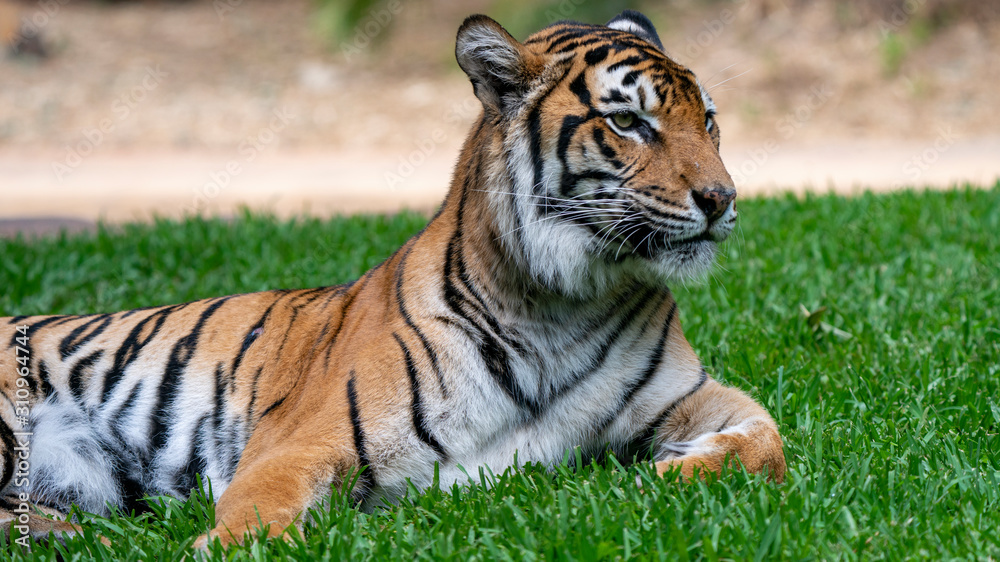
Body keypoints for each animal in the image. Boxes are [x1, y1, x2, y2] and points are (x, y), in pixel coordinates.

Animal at [0, 10, 784, 548]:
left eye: (708, 121)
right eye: (628, 122)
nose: (722, 199)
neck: (562, 307)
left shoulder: (685, 396)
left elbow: (767, 442)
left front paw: (665, 476)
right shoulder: (299, 441)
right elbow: (258, 511)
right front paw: (220, 545)